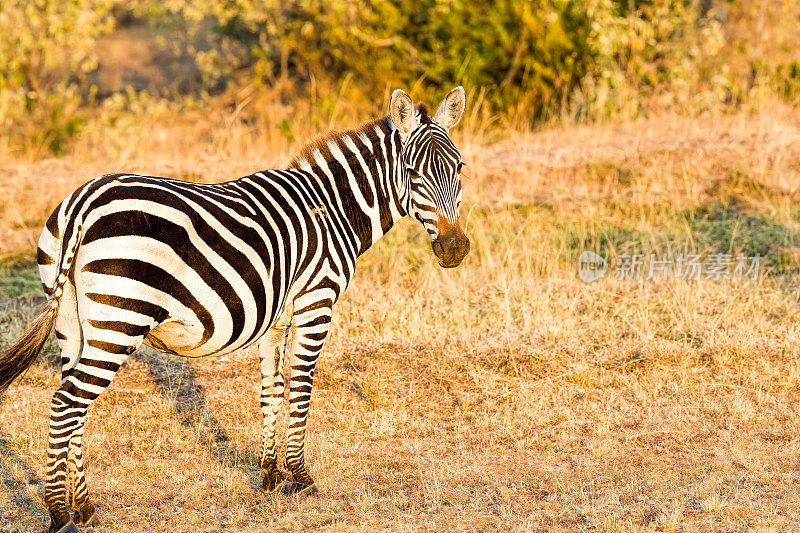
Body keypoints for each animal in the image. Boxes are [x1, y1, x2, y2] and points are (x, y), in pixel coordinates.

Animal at [0, 85, 468, 528]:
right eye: (413, 173)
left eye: (460, 168)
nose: (455, 249)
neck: (333, 209)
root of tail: (84, 201)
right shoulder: (315, 302)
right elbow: (301, 388)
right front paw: (301, 478)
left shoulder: (276, 317)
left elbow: (272, 389)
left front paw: (271, 475)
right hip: (120, 318)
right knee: (67, 403)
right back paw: (59, 513)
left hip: (71, 319)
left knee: (74, 405)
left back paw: (85, 507)